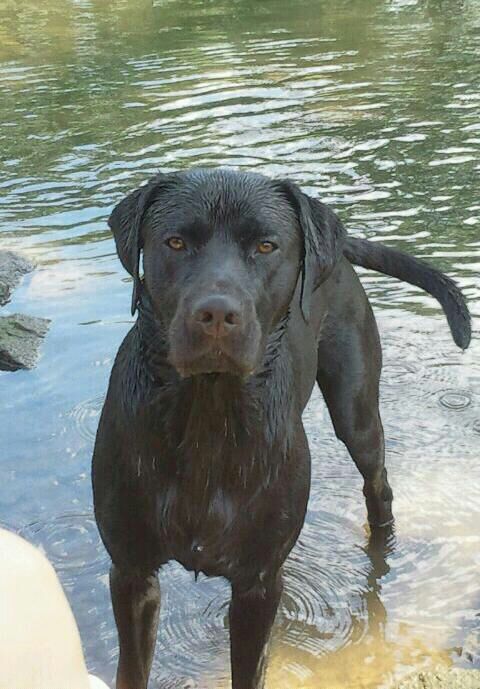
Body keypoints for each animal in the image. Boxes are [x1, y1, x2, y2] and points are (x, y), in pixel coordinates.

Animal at [92, 167, 470, 688]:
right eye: (175, 242)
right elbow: (133, 669)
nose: (216, 314)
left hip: (356, 410)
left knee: (378, 486)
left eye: (267, 246)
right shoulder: (131, 573)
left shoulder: (259, 582)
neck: (208, 415)